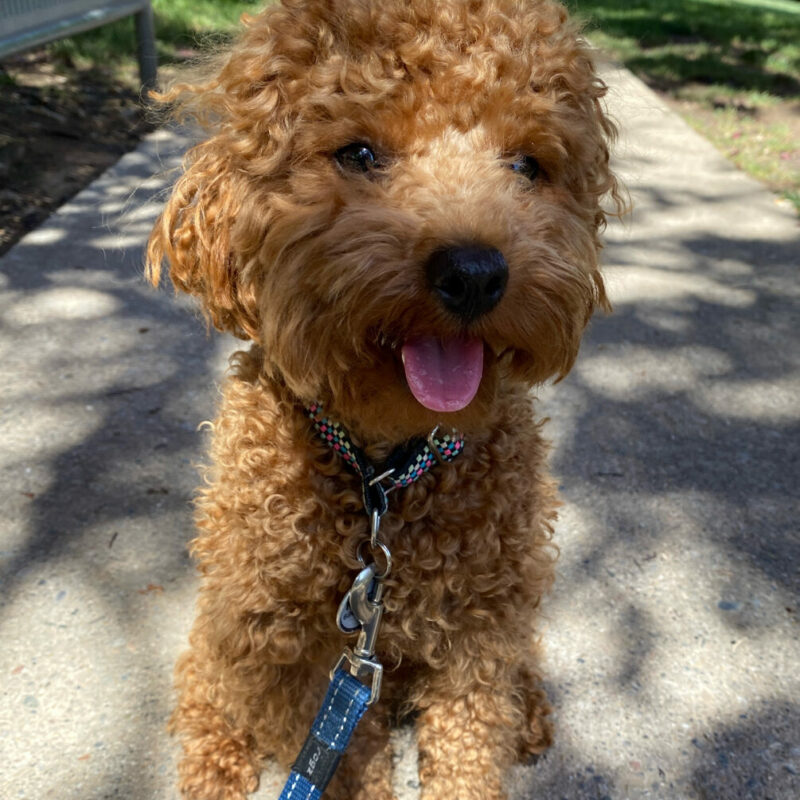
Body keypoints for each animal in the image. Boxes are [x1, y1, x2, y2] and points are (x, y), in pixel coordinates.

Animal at [145, 1, 620, 800]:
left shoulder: (478, 635)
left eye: (528, 165)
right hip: (227, 633)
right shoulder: (297, 656)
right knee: (207, 692)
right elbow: (348, 757)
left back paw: (529, 713)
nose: (474, 273)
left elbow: (468, 745)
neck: (385, 478)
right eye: (359, 153)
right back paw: (214, 767)